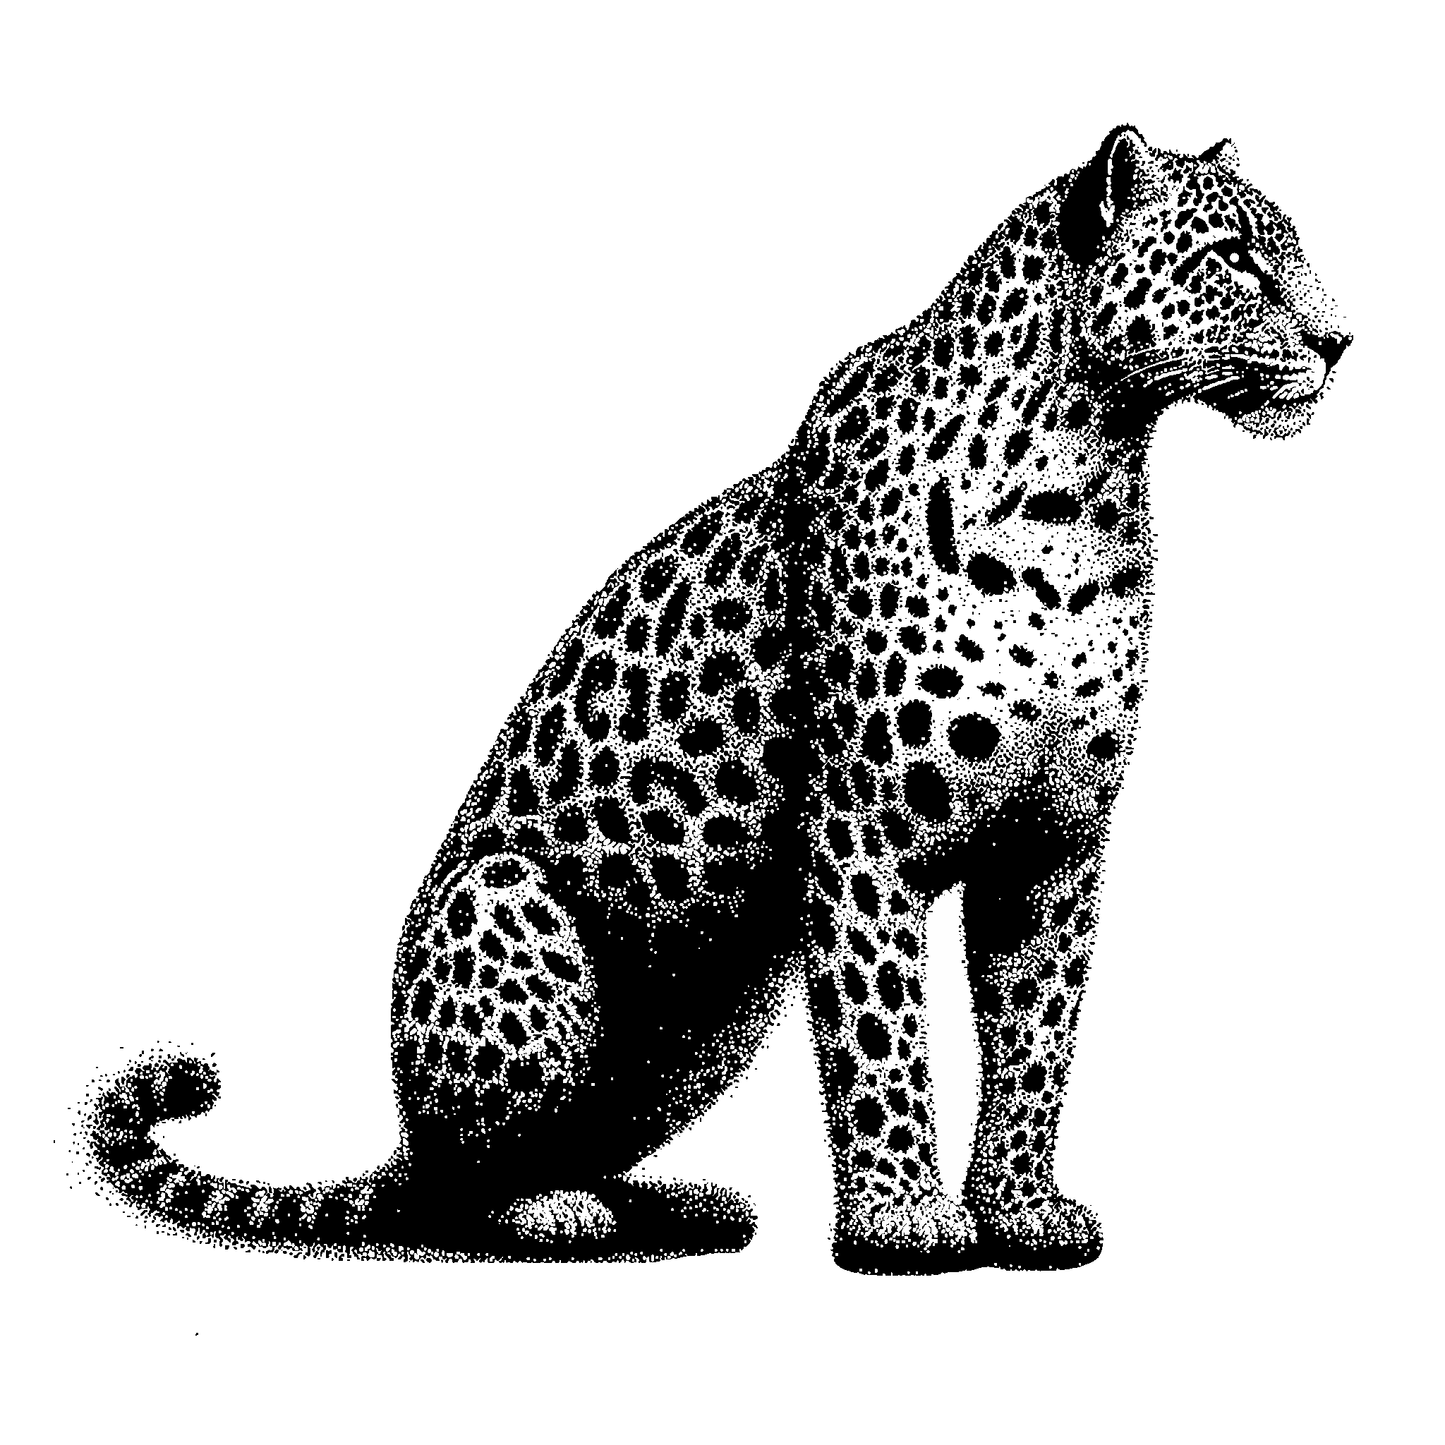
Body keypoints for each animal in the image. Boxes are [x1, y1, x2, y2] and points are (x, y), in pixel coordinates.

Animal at [83, 125, 1349, 1273]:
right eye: (1237, 259)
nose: (1340, 340)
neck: (1084, 483)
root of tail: (401, 1135)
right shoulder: (863, 828)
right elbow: (882, 1032)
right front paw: (902, 1218)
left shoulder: (1055, 840)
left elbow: (1036, 1036)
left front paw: (1022, 1207)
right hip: (508, 908)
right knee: (462, 1177)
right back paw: (546, 1208)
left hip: (711, 1019)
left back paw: (680, 1202)